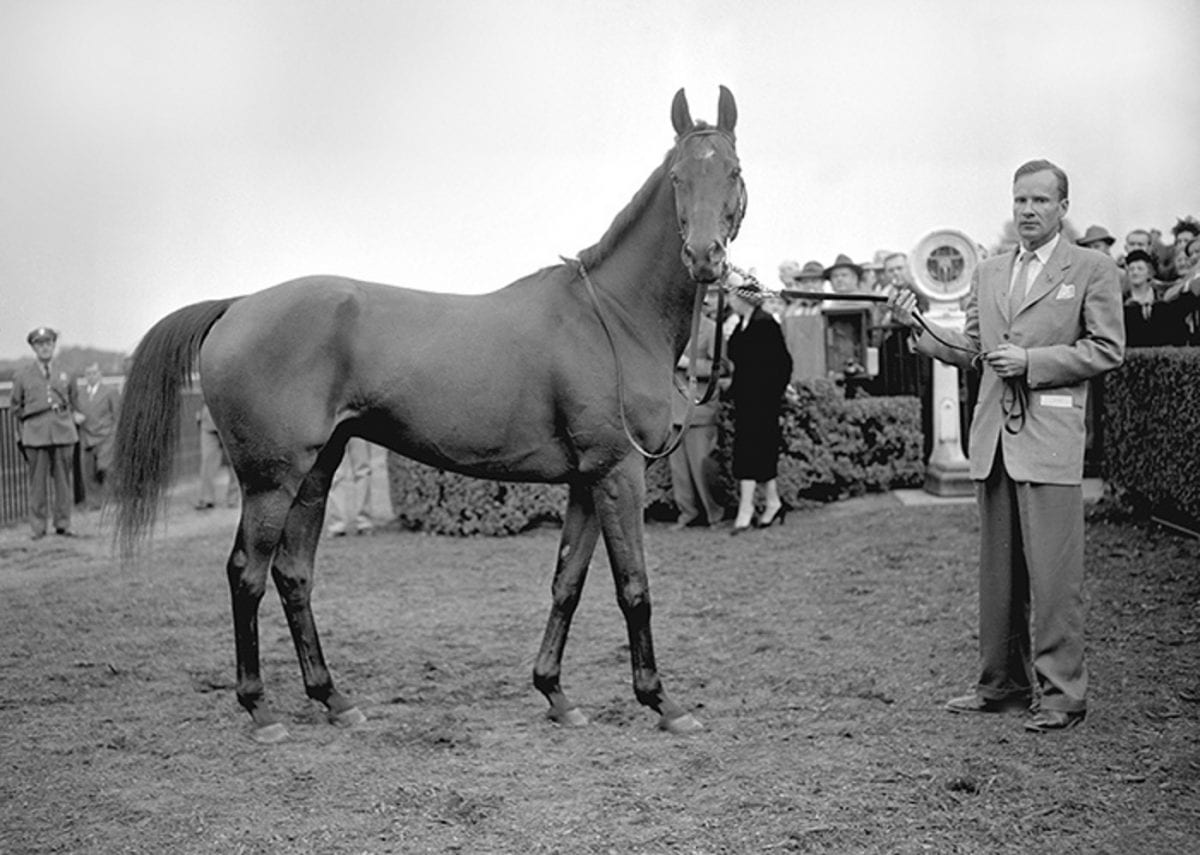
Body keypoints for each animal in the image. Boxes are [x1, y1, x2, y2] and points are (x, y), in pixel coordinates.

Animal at [114, 85, 748, 739]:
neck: (613, 318)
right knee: (246, 574)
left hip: (315, 473)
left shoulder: (588, 480)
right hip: (270, 481)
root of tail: (237, 305)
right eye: (677, 177)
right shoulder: (619, 474)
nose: (704, 257)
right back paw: (260, 707)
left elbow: (567, 583)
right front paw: (662, 702)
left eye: (733, 170)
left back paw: (333, 698)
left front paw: (556, 693)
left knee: (293, 574)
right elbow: (634, 588)